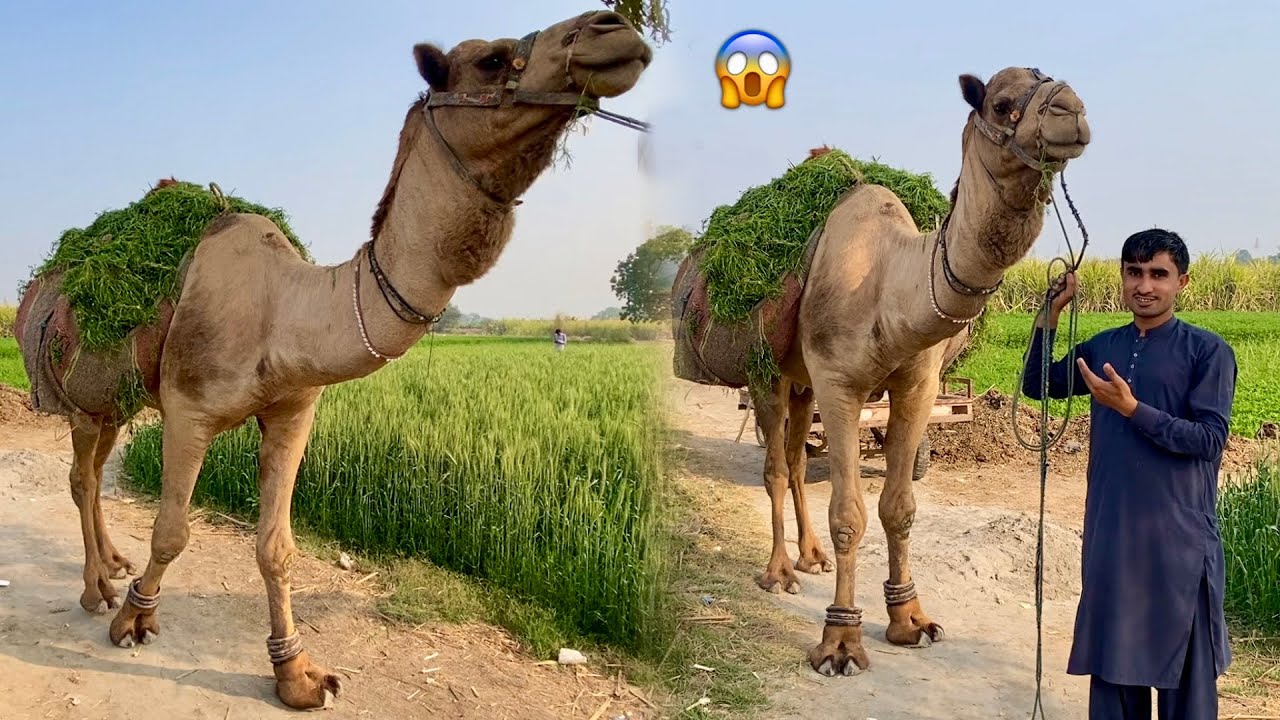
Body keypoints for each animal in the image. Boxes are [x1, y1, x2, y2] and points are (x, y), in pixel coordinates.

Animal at [12, 9, 652, 709]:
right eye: (490, 59)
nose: (614, 27)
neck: (286, 311)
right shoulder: (189, 409)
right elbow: (172, 530)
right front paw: (135, 618)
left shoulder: (293, 411)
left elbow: (276, 548)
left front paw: (297, 674)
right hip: (77, 393)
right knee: (83, 476)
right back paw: (97, 589)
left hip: (117, 400)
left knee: (98, 466)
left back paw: (112, 566)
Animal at [748, 67, 1090, 676]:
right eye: (1002, 104)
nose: (1071, 110)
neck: (889, 283)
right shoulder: (840, 383)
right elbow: (849, 514)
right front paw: (840, 643)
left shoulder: (917, 385)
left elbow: (900, 508)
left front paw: (909, 620)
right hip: (768, 370)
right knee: (776, 467)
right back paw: (779, 573)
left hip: (802, 380)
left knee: (796, 458)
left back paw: (810, 559)